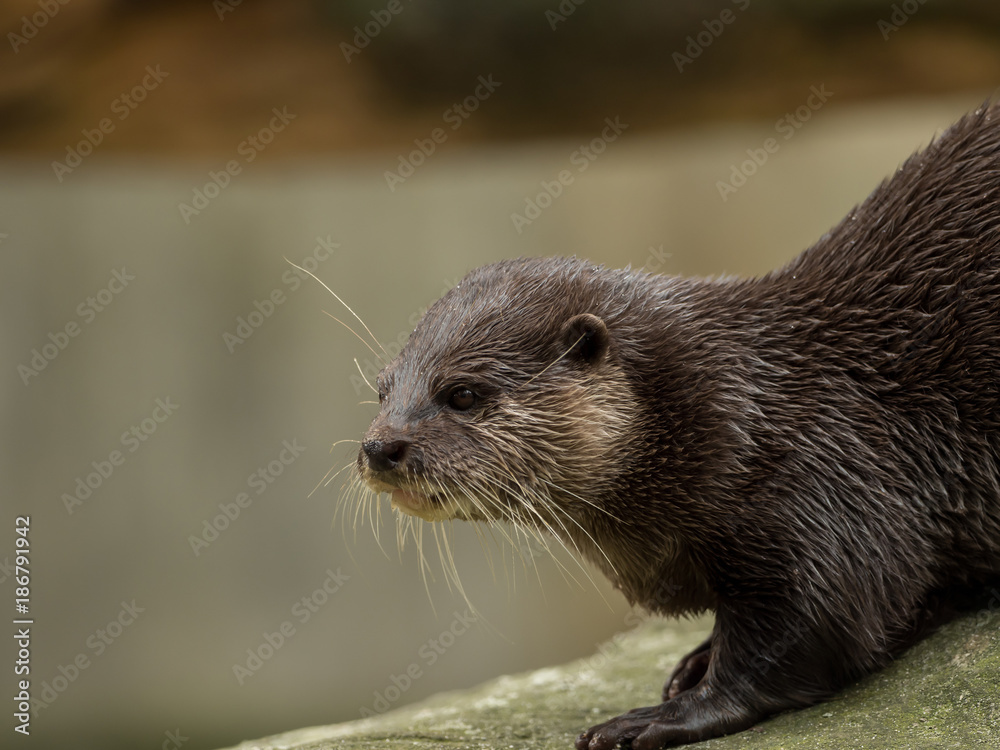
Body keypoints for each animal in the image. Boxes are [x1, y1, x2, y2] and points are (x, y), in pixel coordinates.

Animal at [356, 102, 1000, 748]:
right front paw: (695, 657)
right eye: (383, 389)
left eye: (462, 394)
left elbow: (823, 619)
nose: (380, 447)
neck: (740, 415)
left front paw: (658, 715)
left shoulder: (828, 481)